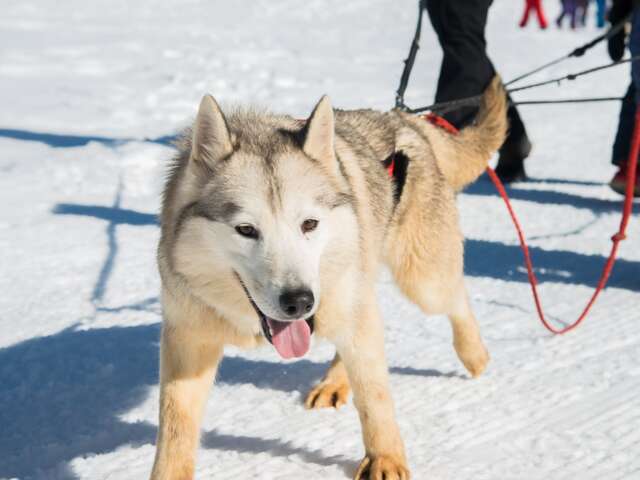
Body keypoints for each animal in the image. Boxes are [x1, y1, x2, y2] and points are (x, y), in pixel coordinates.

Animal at [150, 77, 504, 478]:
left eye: (309, 224)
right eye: (246, 229)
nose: (299, 302)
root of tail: (404, 119)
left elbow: (375, 397)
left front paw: (385, 459)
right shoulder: (188, 341)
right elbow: (175, 426)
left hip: (421, 283)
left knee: (454, 298)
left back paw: (474, 354)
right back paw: (336, 380)